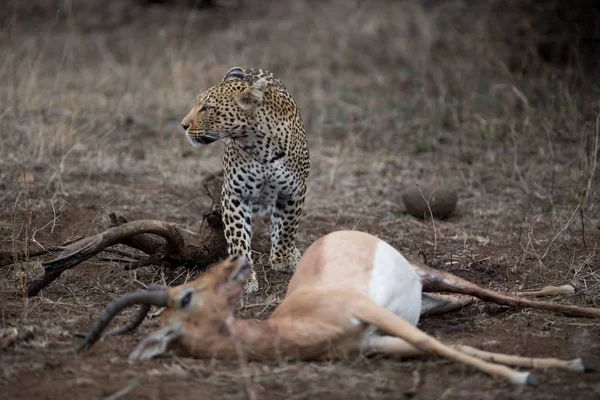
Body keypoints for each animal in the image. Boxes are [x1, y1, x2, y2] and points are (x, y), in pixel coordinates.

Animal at [180, 67, 312, 292]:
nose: (183, 125)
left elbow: (287, 226)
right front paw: (241, 275)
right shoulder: (235, 193)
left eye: (207, 108)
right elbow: (238, 236)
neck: (261, 146)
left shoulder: (294, 190)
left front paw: (283, 259)